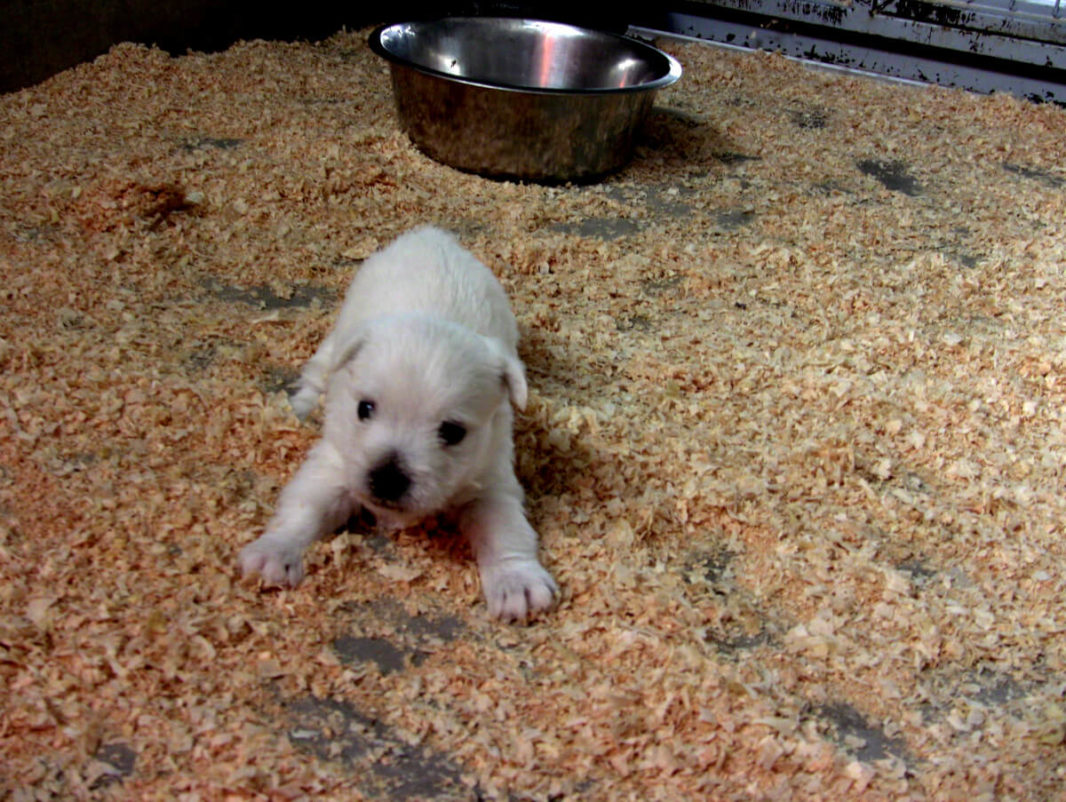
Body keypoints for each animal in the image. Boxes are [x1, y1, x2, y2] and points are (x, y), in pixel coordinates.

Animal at [239, 226, 558, 618]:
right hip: (334, 344)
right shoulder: (336, 462)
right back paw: (299, 408)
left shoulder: (489, 480)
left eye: (452, 432)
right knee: (317, 374)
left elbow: (504, 529)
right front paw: (274, 550)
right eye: (364, 409)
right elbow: (305, 506)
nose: (387, 478)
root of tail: (430, 235)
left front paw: (517, 582)